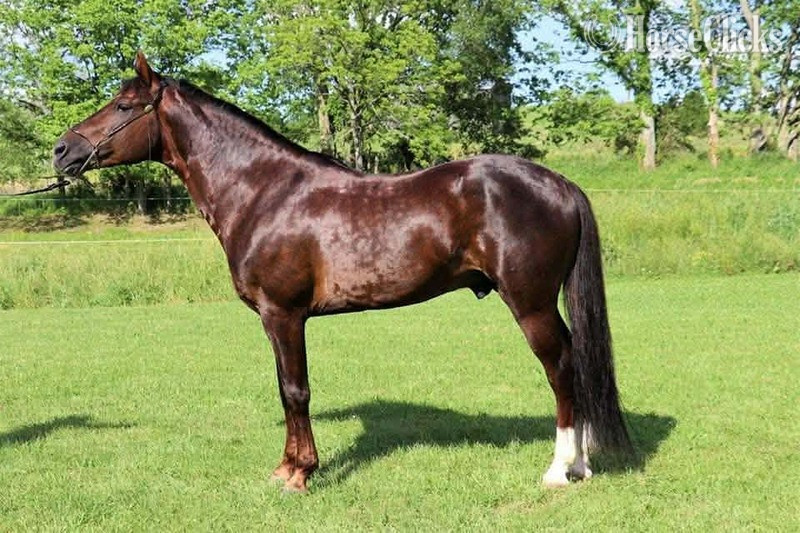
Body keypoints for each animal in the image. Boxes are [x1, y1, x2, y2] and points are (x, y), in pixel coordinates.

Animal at [53, 52, 632, 493]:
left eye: (124, 105)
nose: (62, 150)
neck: (263, 191)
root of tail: (559, 183)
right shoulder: (277, 319)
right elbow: (285, 388)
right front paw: (287, 466)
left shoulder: (283, 315)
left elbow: (295, 390)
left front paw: (299, 474)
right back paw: (581, 465)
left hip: (531, 304)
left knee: (560, 368)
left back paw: (559, 470)